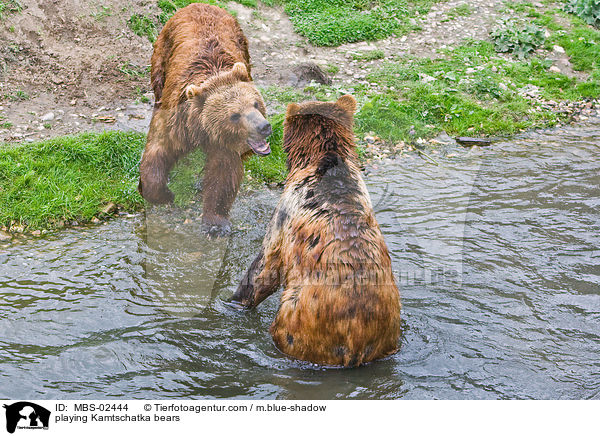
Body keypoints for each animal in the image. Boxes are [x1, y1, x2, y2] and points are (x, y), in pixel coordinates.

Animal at [138, 4, 272, 235]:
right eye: (235, 115)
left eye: (256, 104)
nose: (264, 127)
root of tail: (200, 4)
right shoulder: (176, 122)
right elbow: (158, 151)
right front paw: (165, 194)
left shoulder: (223, 143)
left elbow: (222, 173)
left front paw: (215, 223)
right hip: (163, 55)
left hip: (244, 51)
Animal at [232, 96, 400, 368]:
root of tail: (355, 340)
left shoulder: (285, 212)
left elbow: (265, 266)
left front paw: (235, 301)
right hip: (387, 332)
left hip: (298, 320)